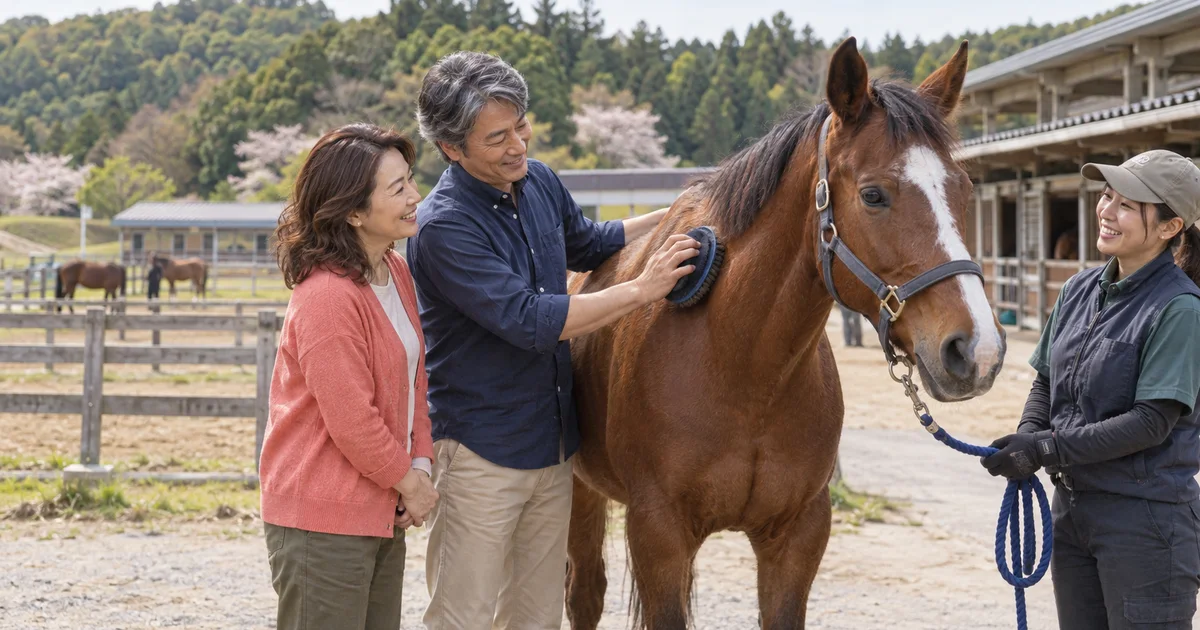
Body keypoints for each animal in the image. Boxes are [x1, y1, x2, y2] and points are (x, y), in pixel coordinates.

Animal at [564, 38, 1007, 630]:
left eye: (964, 191)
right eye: (873, 195)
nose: (976, 350)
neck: (742, 365)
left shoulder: (798, 535)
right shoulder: (657, 533)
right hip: (578, 489)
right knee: (584, 593)